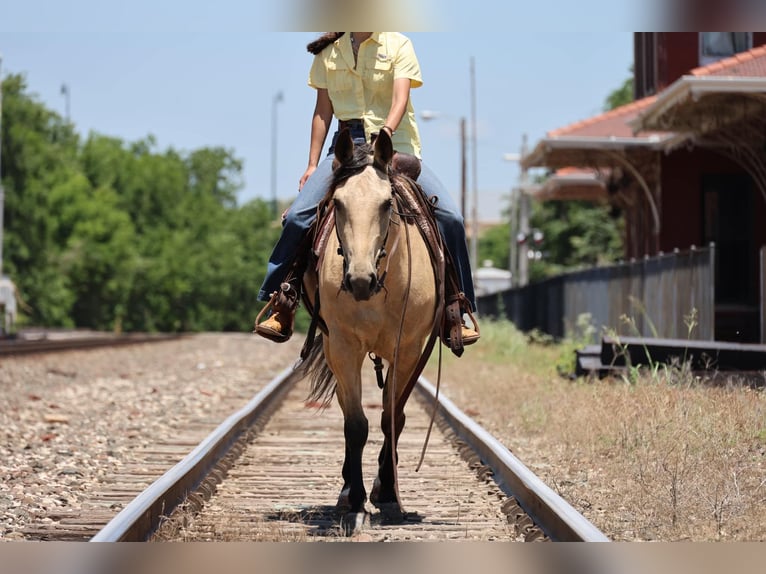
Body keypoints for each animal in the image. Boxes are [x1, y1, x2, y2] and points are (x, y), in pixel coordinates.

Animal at [298, 128, 441, 533]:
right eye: (338, 204)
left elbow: (393, 417)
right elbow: (356, 425)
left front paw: (389, 495)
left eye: (386, 204)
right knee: (347, 408)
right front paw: (356, 502)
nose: (359, 280)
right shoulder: (344, 346)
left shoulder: (409, 348)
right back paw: (347, 491)